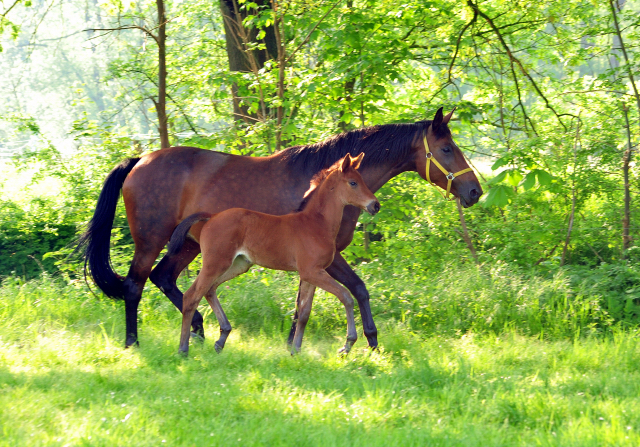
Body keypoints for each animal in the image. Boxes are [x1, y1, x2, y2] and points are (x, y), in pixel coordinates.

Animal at [166, 154, 380, 356]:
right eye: (353, 182)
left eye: (362, 179)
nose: (375, 205)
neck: (316, 223)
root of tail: (212, 216)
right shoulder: (312, 272)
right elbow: (346, 296)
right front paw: (347, 344)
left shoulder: (310, 274)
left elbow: (304, 312)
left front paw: (296, 351)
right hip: (216, 263)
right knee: (192, 296)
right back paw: (183, 349)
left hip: (239, 264)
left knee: (210, 290)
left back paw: (221, 338)